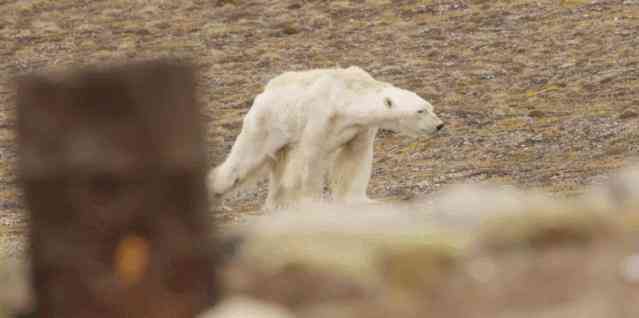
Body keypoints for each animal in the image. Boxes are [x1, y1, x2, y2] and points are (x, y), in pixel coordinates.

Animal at [209, 66, 444, 210]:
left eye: (430, 107)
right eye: (420, 111)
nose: (439, 125)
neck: (345, 95)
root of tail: (264, 92)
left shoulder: (360, 128)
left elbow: (355, 159)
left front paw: (361, 201)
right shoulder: (320, 117)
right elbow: (311, 159)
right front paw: (313, 203)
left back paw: (276, 204)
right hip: (266, 123)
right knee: (243, 162)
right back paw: (214, 189)